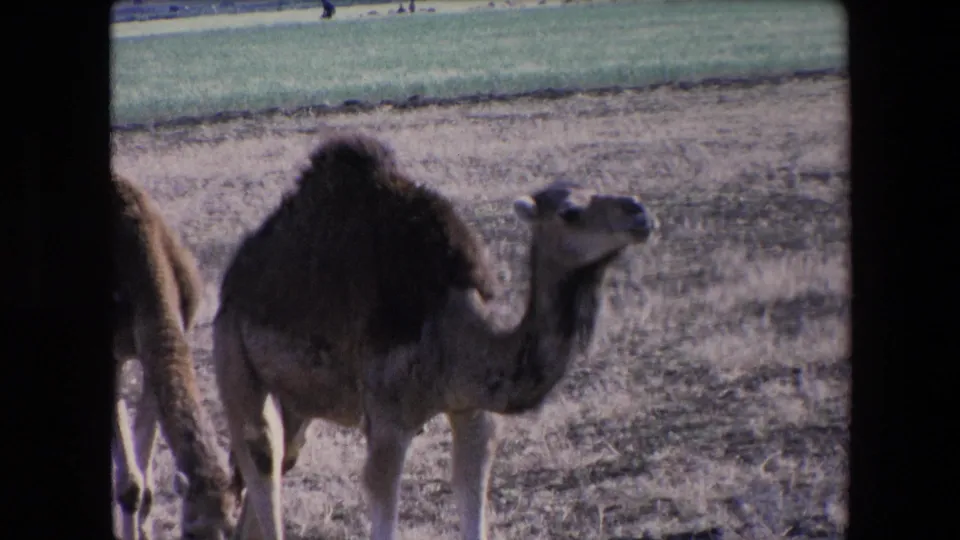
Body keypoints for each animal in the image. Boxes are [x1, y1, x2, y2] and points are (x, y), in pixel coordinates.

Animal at [212, 134, 659, 540]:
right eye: (570, 212)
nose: (639, 213)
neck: (454, 332)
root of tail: (235, 277)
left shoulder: (472, 412)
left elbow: (471, 498)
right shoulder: (388, 420)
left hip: (297, 402)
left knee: (277, 462)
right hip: (232, 355)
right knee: (261, 453)